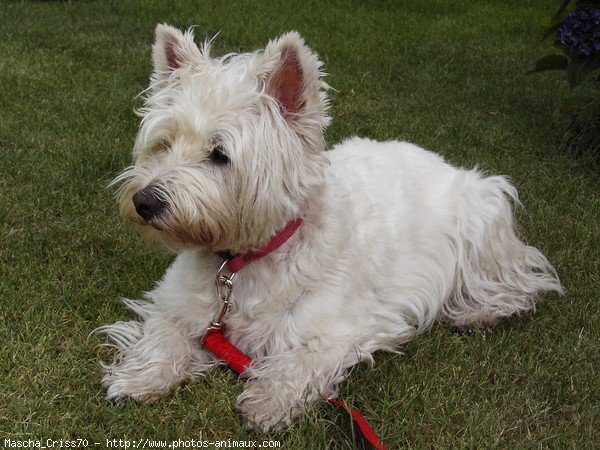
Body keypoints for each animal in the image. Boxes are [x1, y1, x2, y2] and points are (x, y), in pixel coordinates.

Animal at [97, 25, 564, 432]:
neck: (245, 261)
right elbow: (165, 335)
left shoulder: (344, 328)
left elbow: (303, 360)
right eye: (164, 144)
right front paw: (138, 378)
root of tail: (437, 158)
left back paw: (478, 313)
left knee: (521, 280)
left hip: (485, 216)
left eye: (219, 154)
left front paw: (269, 401)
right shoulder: (178, 305)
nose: (145, 202)